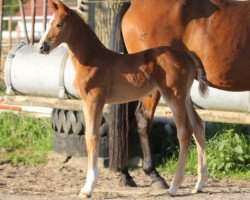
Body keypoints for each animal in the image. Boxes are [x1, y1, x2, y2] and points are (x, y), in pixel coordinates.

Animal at [38, 0, 208, 197]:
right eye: (48, 23)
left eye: (59, 24)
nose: (42, 47)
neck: (93, 59)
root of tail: (186, 55)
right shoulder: (86, 102)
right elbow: (89, 137)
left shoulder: (95, 100)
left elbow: (92, 138)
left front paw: (88, 188)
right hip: (185, 97)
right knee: (198, 125)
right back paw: (199, 184)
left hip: (174, 96)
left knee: (185, 131)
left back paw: (173, 187)